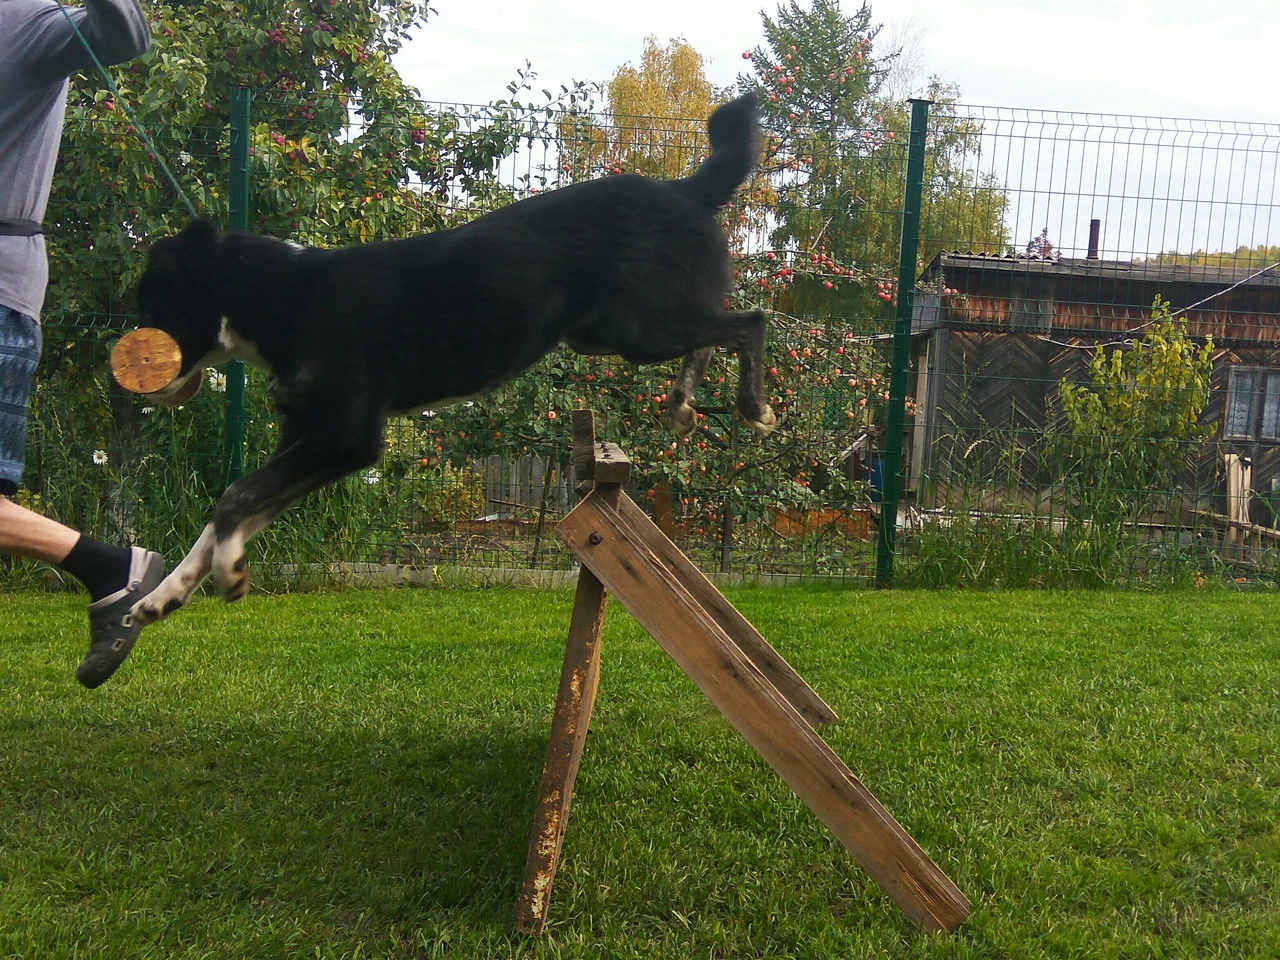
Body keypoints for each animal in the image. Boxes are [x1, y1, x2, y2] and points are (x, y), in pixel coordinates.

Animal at [128, 91, 773, 624]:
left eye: (150, 303)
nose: (129, 373)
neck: (285, 296)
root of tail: (683, 189)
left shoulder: (345, 436)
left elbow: (236, 498)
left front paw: (228, 574)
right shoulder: (308, 439)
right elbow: (229, 511)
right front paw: (167, 594)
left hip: (637, 326)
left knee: (750, 321)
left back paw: (753, 407)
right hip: (607, 332)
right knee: (713, 330)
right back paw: (683, 403)